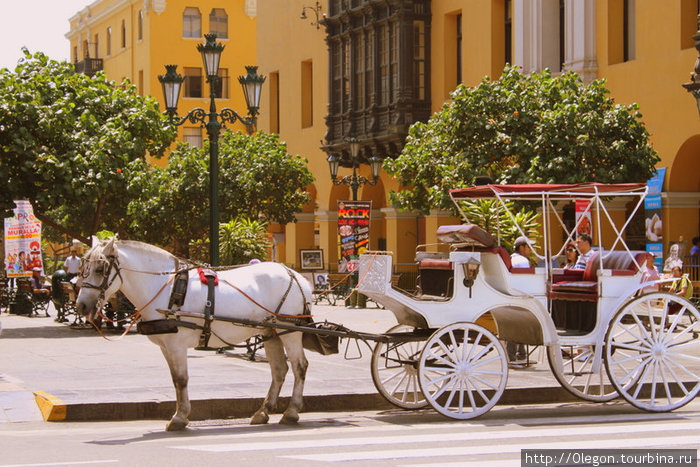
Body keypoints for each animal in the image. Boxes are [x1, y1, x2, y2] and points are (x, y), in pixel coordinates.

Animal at [74, 238, 312, 432]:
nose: (81, 306)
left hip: (289, 329)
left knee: (299, 366)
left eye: (100, 269)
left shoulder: (176, 345)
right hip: (270, 330)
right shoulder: (166, 346)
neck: (165, 289)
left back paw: (291, 412)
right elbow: (174, 380)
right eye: (83, 268)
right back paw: (263, 412)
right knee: (279, 370)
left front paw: (179, 418)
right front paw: (180, 415)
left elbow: (181, 380)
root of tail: (295, 275)